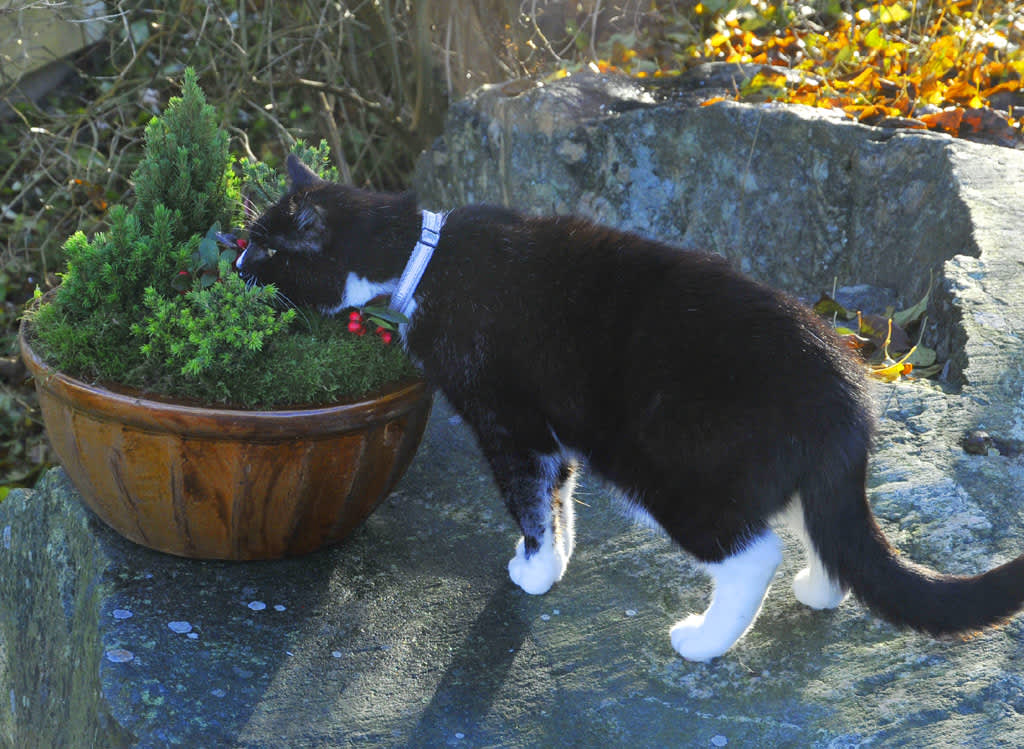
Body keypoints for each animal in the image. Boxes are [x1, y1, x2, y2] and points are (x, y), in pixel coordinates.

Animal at [235, 153, 1024, 663]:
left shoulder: (508, 422)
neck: (423, 257)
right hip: (784, 474)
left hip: (676, 470)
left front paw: (533, 571)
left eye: (267, 250)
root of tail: (848, 390)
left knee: (752, 552)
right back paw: (817, 590)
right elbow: (559, 500)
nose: (235, 265)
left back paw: (704, 639)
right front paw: (554, 563)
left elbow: (529, 502)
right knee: (824, 531)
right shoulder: (549, 434)